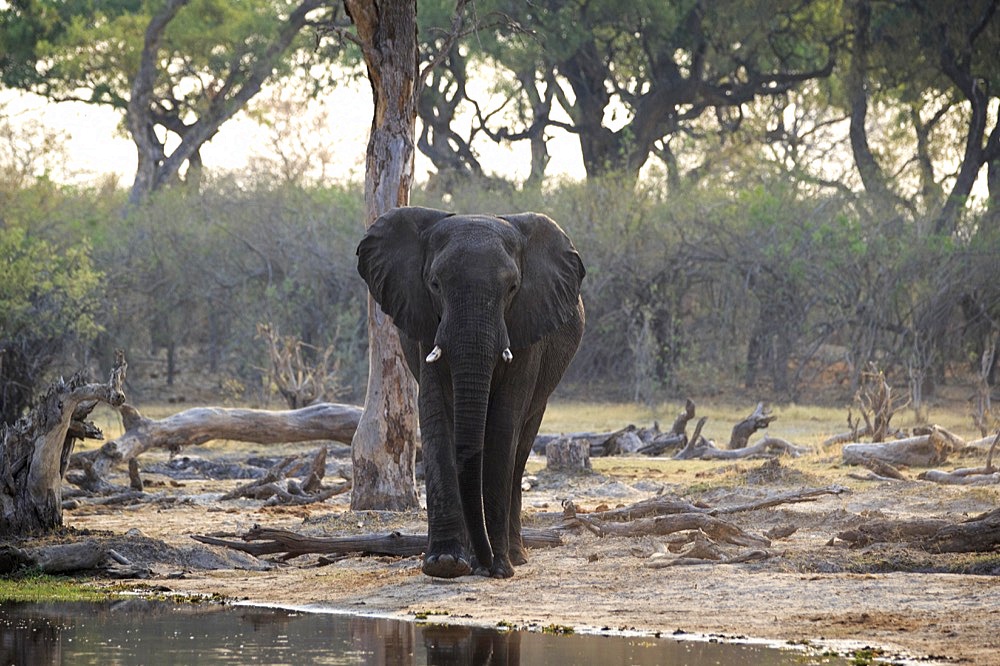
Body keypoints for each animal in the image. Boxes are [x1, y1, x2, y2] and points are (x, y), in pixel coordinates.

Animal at [356, 206, 584, 576]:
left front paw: (499, 568)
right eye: (435, 284)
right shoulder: (425, 325)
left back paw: (516, 556)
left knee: (520, 447)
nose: (488, 563)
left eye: (513, 288)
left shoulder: (527, 324)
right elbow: (436, 411)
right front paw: (446, 564)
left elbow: (504, 420)